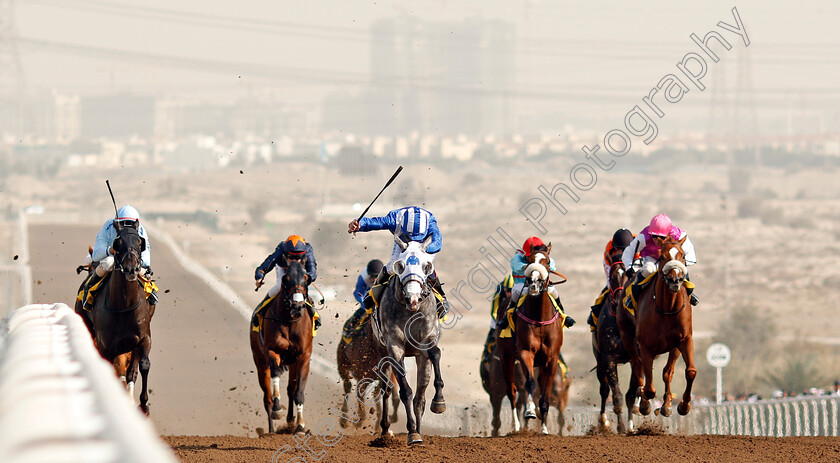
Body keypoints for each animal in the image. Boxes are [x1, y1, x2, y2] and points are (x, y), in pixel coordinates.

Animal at [253, 260, 316, 436]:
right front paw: (277, 409)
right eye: (286, 279)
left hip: (292, 363)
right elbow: (275, 373)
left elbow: (298, 392)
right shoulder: (272, 350)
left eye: (306, 278)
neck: (289, 321)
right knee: (267, 397)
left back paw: (290, 421)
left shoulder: (303, 357)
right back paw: (271, 430)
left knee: (290, 390)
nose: (297, 306)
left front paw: (300, 426)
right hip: (260, 364)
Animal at [374, 236, 446, 446]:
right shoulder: (394, 346)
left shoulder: (426, 340)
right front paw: (412, 432)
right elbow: (405, 391)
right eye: (401, 265)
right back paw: (386, 429)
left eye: (426, 266)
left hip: (421, 359)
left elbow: (435, 353)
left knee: (420, 397)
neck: (410, 311)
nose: (413, 298)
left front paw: (439, 402)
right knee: (386, 389)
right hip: (382, 354)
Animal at [498, 246, 564, 436]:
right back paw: (516, 425)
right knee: (512, 392)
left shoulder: (551, 359)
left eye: (547, 261)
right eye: (528, 260)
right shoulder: (525, 353)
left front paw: (544, 428)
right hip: (506, 357)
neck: (539, 319)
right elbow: (530, 383)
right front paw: (530, 411)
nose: (534, 283)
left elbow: (545, 393)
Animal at [632, 237, 696, 418]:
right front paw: (645, 404)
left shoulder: (685, 339)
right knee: (639, 368)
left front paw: (683, 406)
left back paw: (666, 405)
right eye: (662, 256)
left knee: (667, 372)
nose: (675, 280)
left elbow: (690, 372)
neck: (667, 308)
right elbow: (649, 387)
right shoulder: (645, 345)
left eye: (682, 255)